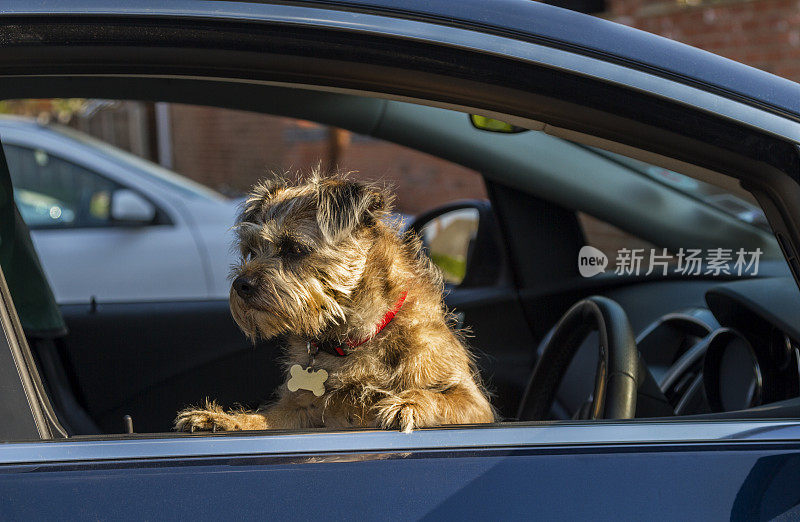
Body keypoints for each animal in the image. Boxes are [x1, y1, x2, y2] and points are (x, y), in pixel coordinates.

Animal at [175, 171, 494, 430]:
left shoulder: (475, 405)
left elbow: (440, 397)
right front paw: (221, 418)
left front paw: (407, 403)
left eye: (294, 249)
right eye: (251, 251)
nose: (241, 284)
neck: (353, 338)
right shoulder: (301, 410)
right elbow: (262, 419)